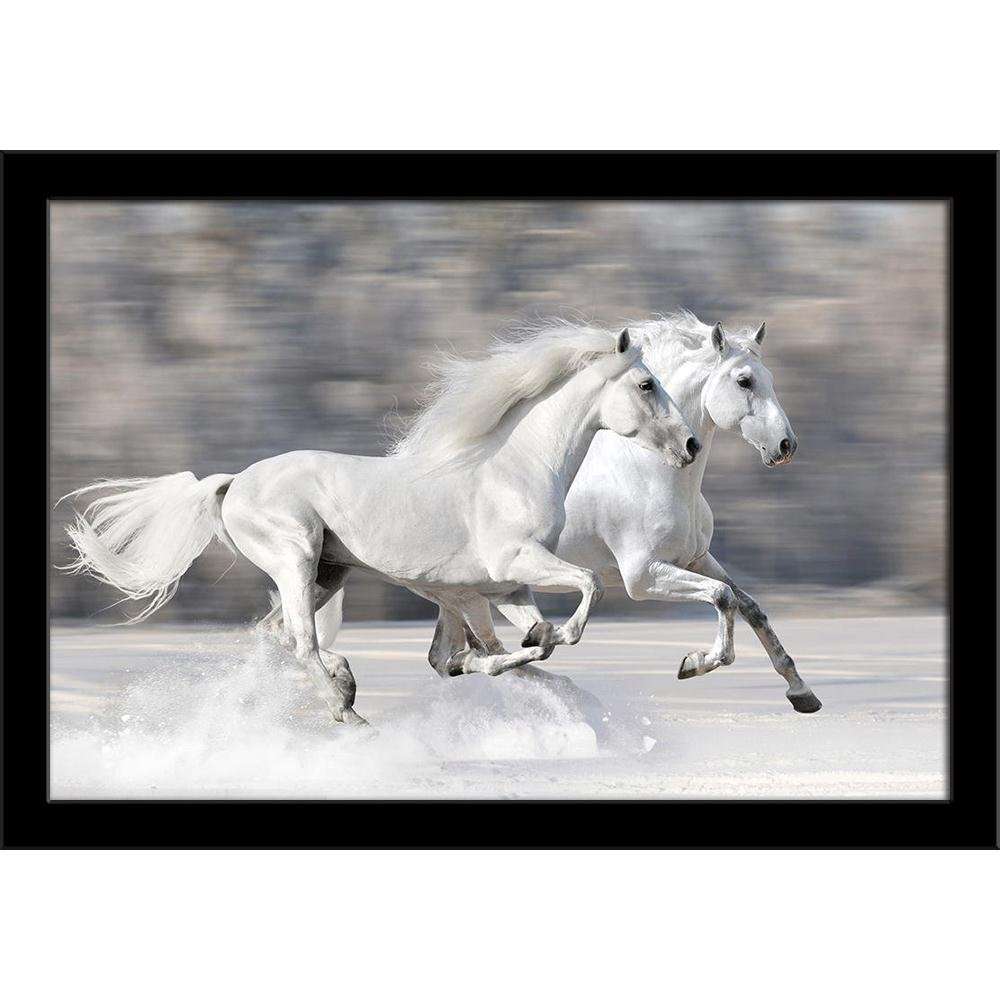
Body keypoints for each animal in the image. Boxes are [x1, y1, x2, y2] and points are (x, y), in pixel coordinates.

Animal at [60, 325, 700, 726]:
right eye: (646, 384)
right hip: (295, 559)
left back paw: (342, 684)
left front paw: (534, 648)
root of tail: (233, 482)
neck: (513, 469)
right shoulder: (509, 569)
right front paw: (553, 639)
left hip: (328, 573)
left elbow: (508, 645)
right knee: (299, 641)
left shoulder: (506, 587)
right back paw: (346, 707)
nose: (692, 444)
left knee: (276, 637)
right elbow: (578, 596)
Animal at [307, 311, 822, 713]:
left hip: (456, 593)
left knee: (446, 656)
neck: (652, 471)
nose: (785, 446)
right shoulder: (643, 576)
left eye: (769, 380)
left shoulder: (695, 559)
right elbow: (722, 598)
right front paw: (695, 664)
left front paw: (802, 693)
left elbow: (748, 605)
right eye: (744, 381)